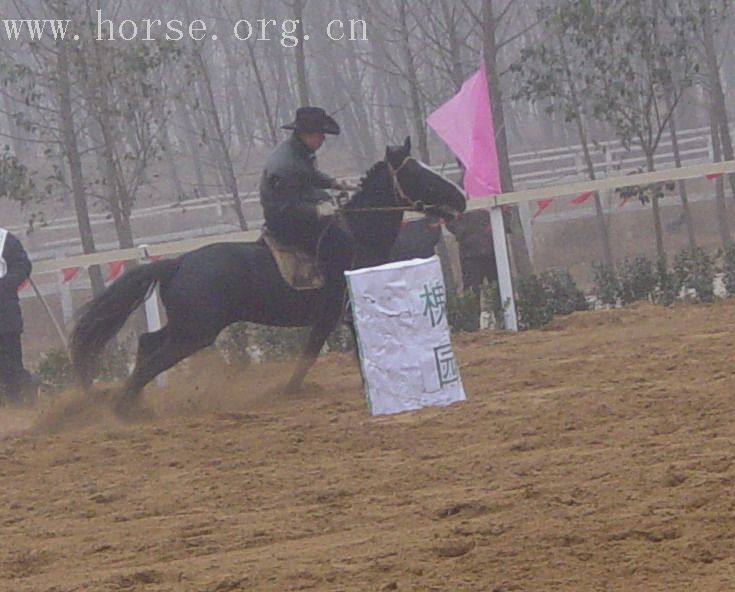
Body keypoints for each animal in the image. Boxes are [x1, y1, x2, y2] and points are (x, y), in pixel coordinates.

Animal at [73, 138, 466, 416]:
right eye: (419, 174)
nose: (461, 199)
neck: (357, 234)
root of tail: (177, 263)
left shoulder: (327, 319)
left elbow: (309, 357)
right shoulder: (344, 313)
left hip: (187, 327)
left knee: (147, 345)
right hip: (196, 332)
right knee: (153, 359)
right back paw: (123, 410)